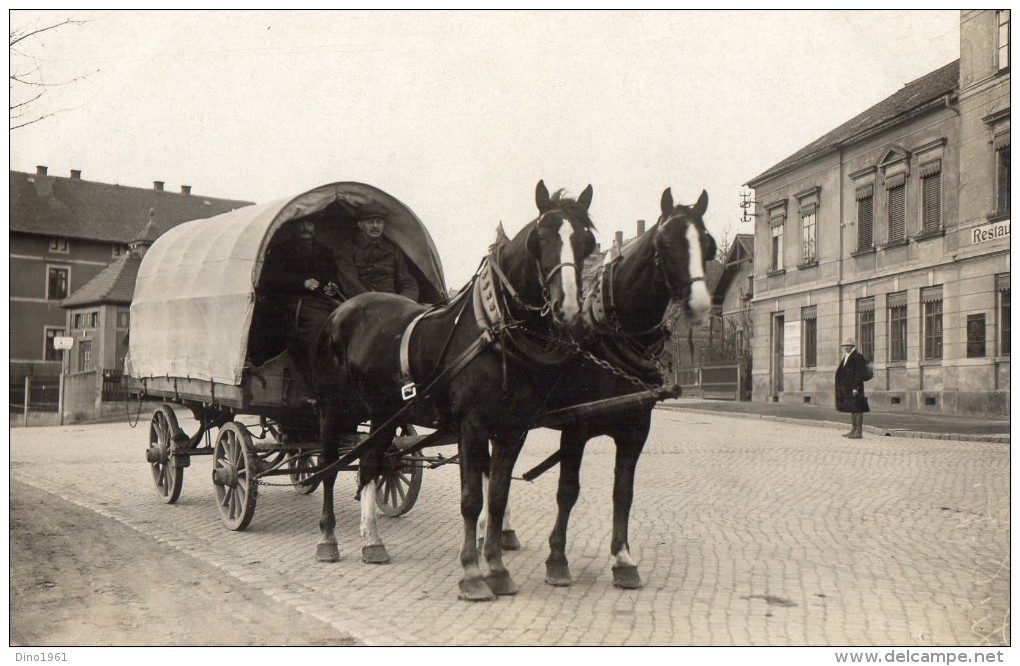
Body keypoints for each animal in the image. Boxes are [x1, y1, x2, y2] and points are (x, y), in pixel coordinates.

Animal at [318, 179, 595, 599]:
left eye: (587, 241)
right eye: (541, 237)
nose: (568, 308)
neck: (491, 330)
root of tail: (341, 309)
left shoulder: (512, 429)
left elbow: (496, 498)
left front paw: (496, 568)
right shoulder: (472, 426)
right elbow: (471, 500)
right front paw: (471, 574)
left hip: (384, 412)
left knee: (370, 463)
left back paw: (372, 541)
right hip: (337, 410)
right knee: (329, 466)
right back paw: (329, 539)